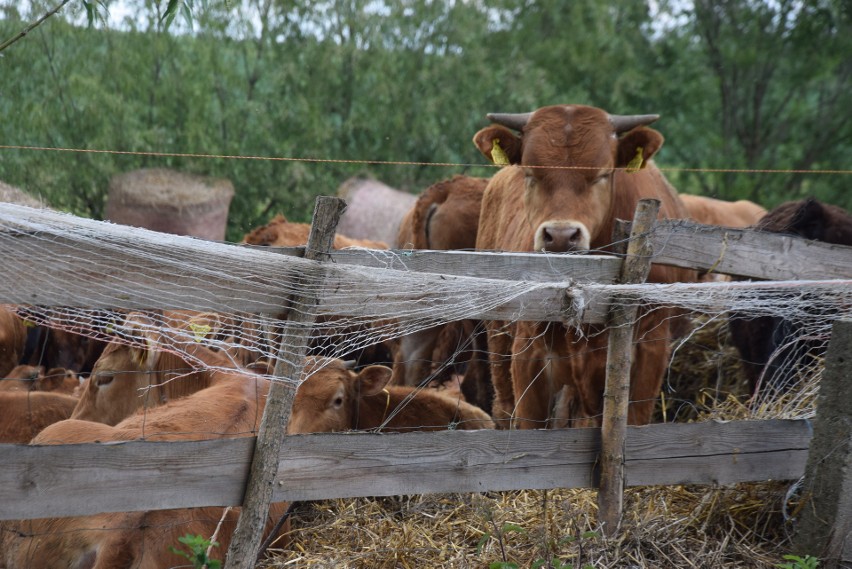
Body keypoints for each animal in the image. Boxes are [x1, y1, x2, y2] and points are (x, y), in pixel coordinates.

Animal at [470, 104, 696, 428]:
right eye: (530, 172)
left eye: (602, 174)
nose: (561, 236)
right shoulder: (529, 354)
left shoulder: (650, 351)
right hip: (499, 341)